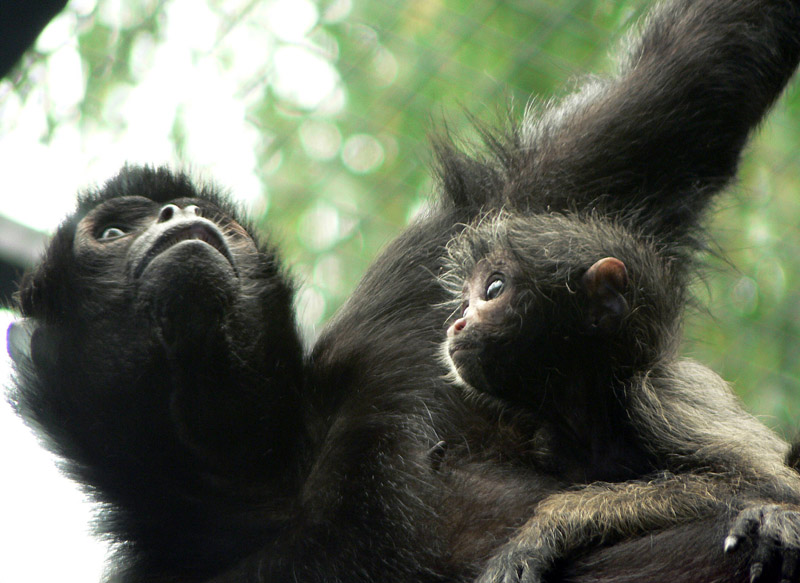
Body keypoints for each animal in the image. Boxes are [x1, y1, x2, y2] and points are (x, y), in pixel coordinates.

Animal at [440, 213, 800, 583]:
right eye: (464, 302)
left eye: (494, 289)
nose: (457, 324)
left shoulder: (660, 397)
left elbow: (768, 488)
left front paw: (553, 522)